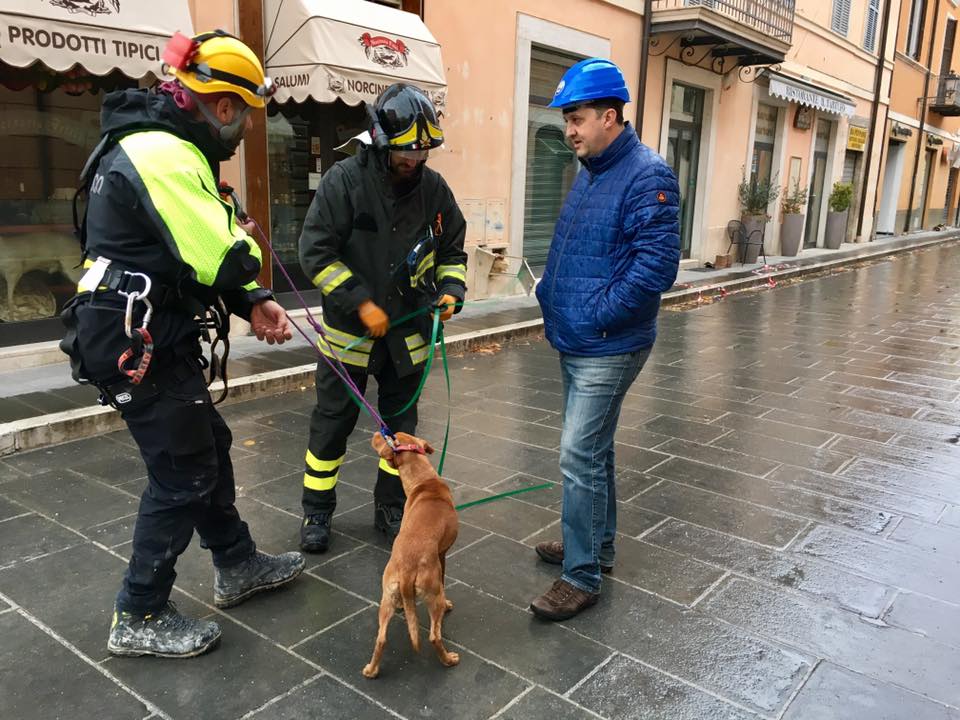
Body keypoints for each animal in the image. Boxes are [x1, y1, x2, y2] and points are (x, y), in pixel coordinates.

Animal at [364, 430, 462, 676]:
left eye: (391, 435)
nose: (377, 431)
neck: (425, 482)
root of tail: (408, 570)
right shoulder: (442, 554)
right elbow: (445, 577)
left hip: (386, 597)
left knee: (381, 638)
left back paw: (371, 670)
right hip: (433, 595)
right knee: (434, 636)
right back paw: (448, 659)